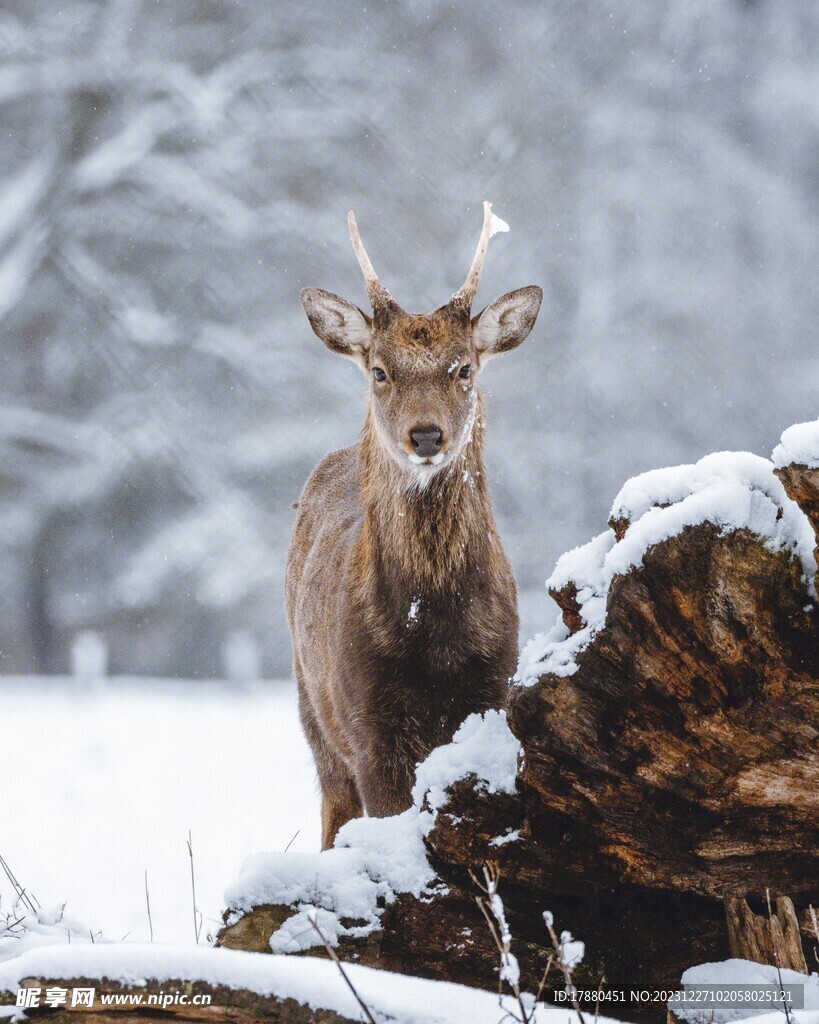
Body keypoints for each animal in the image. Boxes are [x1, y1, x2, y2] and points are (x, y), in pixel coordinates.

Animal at [288, 201, 544, 847]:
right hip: (313, 711)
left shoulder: (491, 695)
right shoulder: (369, 729)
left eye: (464, 369)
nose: (426, 435)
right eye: (380, 371)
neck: (435, 634)